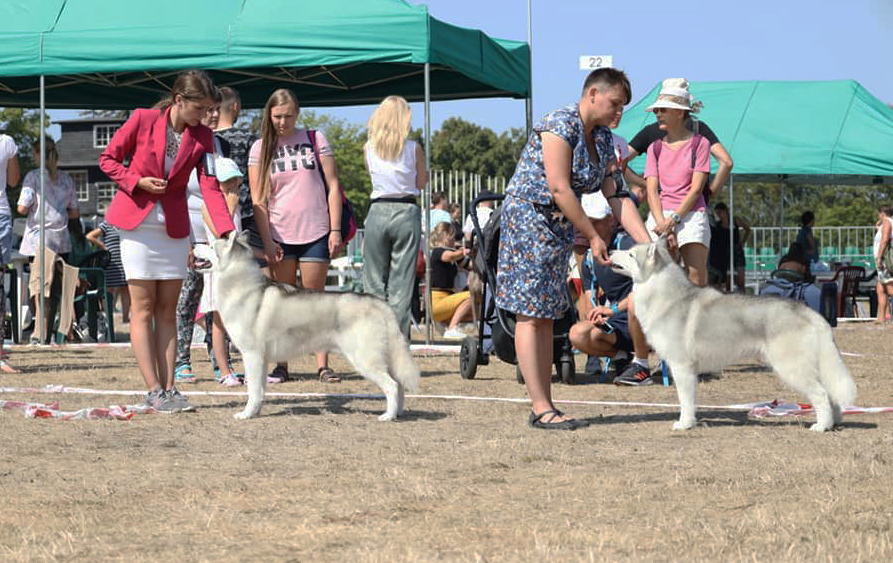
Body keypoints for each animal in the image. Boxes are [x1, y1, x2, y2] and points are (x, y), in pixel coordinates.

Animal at [195, 231, 418, 420]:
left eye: (211, 245)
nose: (195, 245)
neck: (241, 285)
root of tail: (380, 303)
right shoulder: (262, 359)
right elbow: (260, 390)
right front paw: (256, 410)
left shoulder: (252, 355)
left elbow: (253, 390)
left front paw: (247, 414)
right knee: (399, 385)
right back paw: (398, 412)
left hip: (364, 359)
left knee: (392, 385)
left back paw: (388, 416)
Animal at [608, 239, 852, 432]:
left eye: (630, 254)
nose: (609, 251)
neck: (665, 294)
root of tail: (809, 312)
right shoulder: (689, 370)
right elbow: (692, 400)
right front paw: (692, 421)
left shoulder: (681, 366)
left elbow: (685, 400)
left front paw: (684, 424)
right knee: (831, 395)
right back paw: (834, 422)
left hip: (792, 368)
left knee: (821, 394)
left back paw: (821, 426)